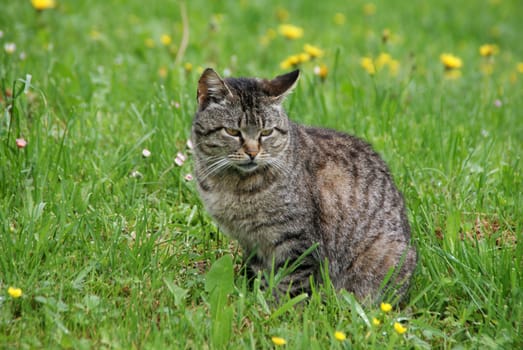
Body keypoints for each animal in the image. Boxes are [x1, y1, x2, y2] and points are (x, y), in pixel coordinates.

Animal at [191, 68, 418, 304]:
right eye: (233, 132)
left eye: (266, 132)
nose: (252, 153)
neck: (233, 185)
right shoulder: (253, 244)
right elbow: (262, 278)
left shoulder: (297, 241)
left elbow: (292, 285)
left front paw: (280, 309)